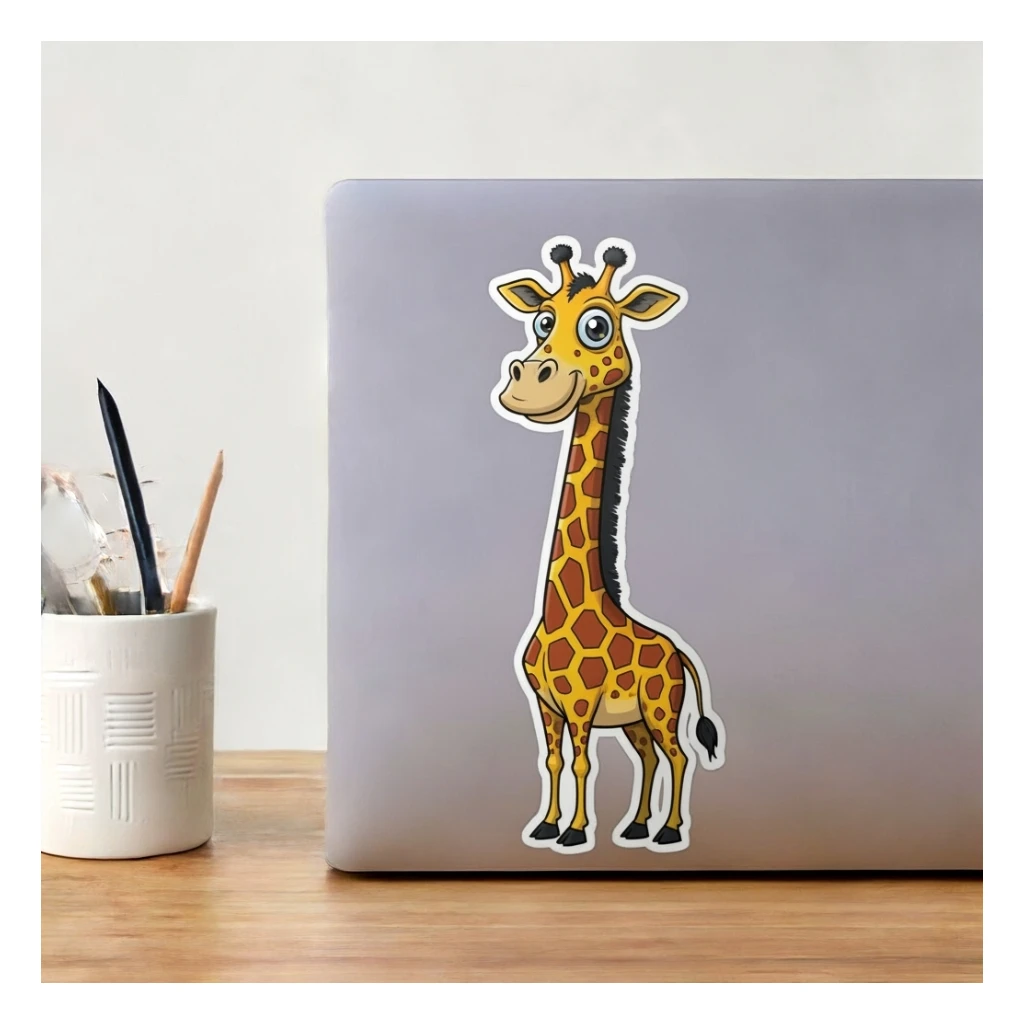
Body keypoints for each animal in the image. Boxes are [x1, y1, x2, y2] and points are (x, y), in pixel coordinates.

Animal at [489, 236, 726, 855]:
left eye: (598, 326)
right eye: (542, 320)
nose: (528, 383)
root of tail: (679, 653)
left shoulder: (578, 706)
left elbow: (580, 764)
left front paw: (573, 833)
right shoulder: (546, 705)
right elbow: (551, 761)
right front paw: (546, 826)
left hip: (663, 706)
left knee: (679, 756)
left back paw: (668, 832)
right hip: (637, 718)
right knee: (648, 758)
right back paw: (636, 826)